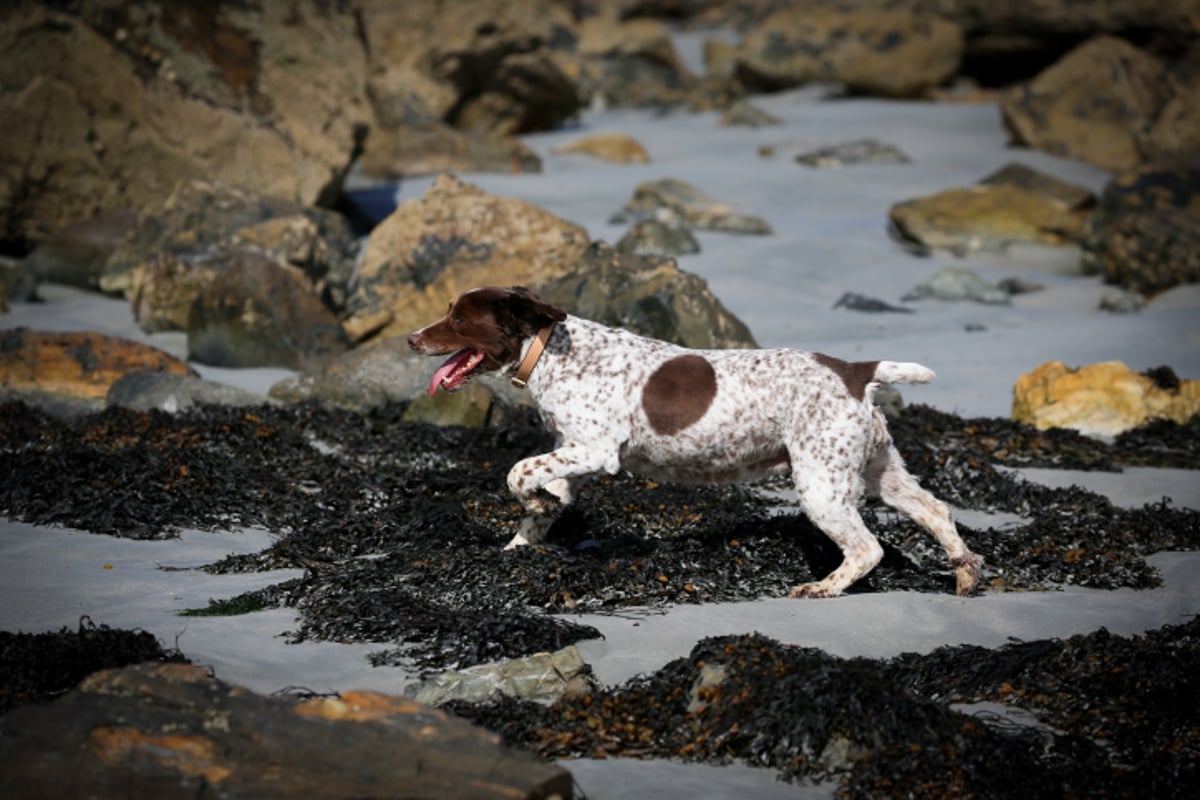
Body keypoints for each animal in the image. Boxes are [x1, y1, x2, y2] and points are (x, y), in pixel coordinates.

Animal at [408, 287, 979, 599]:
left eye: (459, 319)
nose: (411, 338)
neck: (549, 350)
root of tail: (857, 371)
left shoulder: (597, 450)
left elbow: (517, 472)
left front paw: (533, 505)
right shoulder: (573, 453)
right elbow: (537, 502)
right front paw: (520, 545)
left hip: (821, 483)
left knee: (867, 548)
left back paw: (821, 587)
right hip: (879, 470)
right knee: (937, 511)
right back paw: (966, 575)